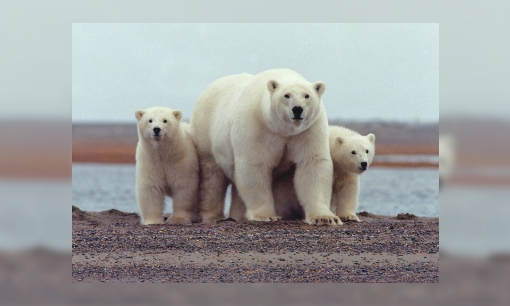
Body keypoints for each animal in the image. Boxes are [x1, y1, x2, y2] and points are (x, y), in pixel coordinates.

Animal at [189, 68, 340, 225]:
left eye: (307, 95)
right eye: (286, 95)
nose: (297, 109)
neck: (283, 129)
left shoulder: (308, 130)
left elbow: (312, 164)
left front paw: (325, 217)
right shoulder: (256, 126)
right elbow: (255, 165)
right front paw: (266, 215)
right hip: (206, 133)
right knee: (212, 179)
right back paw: (213, 216)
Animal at [229, 125, 376, 224]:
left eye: (367, 150)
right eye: (353, 152)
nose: (363, 163)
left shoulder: (344, 172)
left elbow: (347, 189)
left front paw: (349, 216)